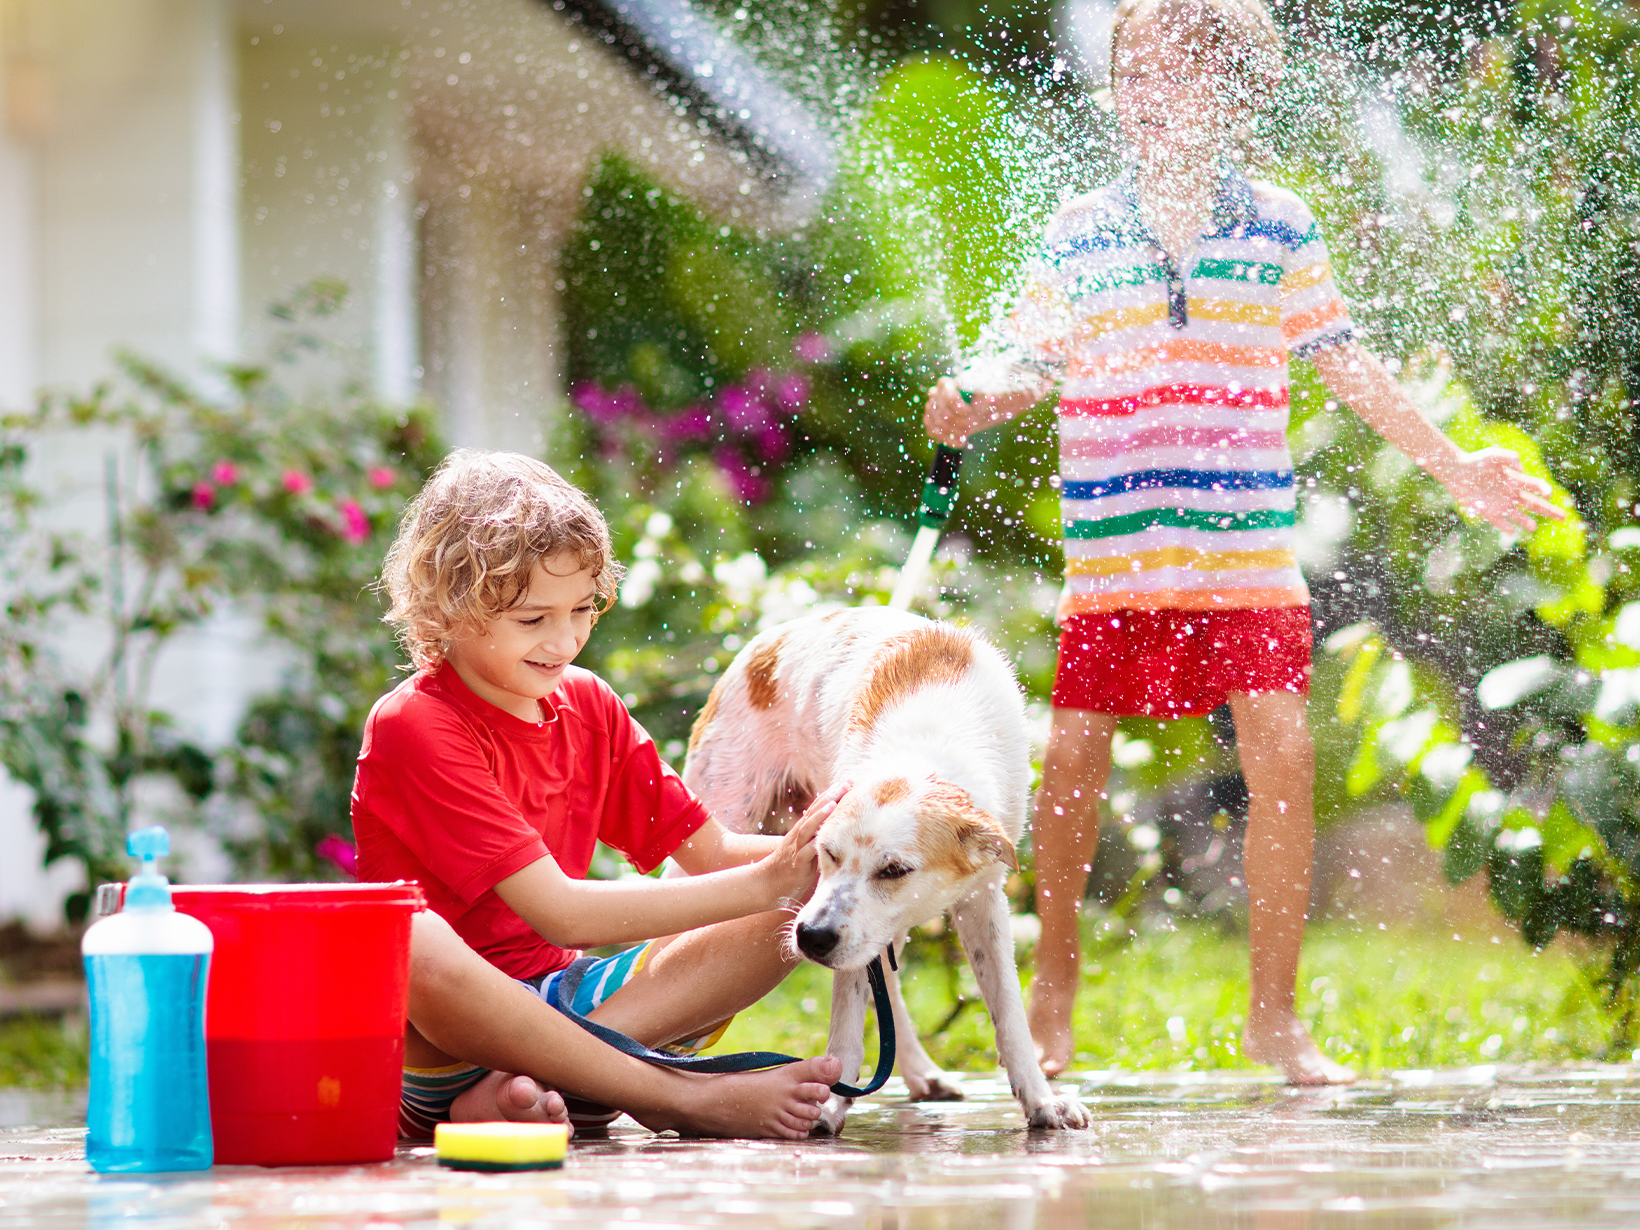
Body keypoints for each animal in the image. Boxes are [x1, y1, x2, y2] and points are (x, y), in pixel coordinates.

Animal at [682, 606, 1088, 1134]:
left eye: (895, 870)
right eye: (826, 854)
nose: (811, 937)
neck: (925, 749)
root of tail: (768, 638)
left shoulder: (984, 898)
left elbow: (1008, 1013)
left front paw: (1042, 1099)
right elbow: (847, 1020)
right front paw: (829, 1104)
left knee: (888, 986)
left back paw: (921, 1074)